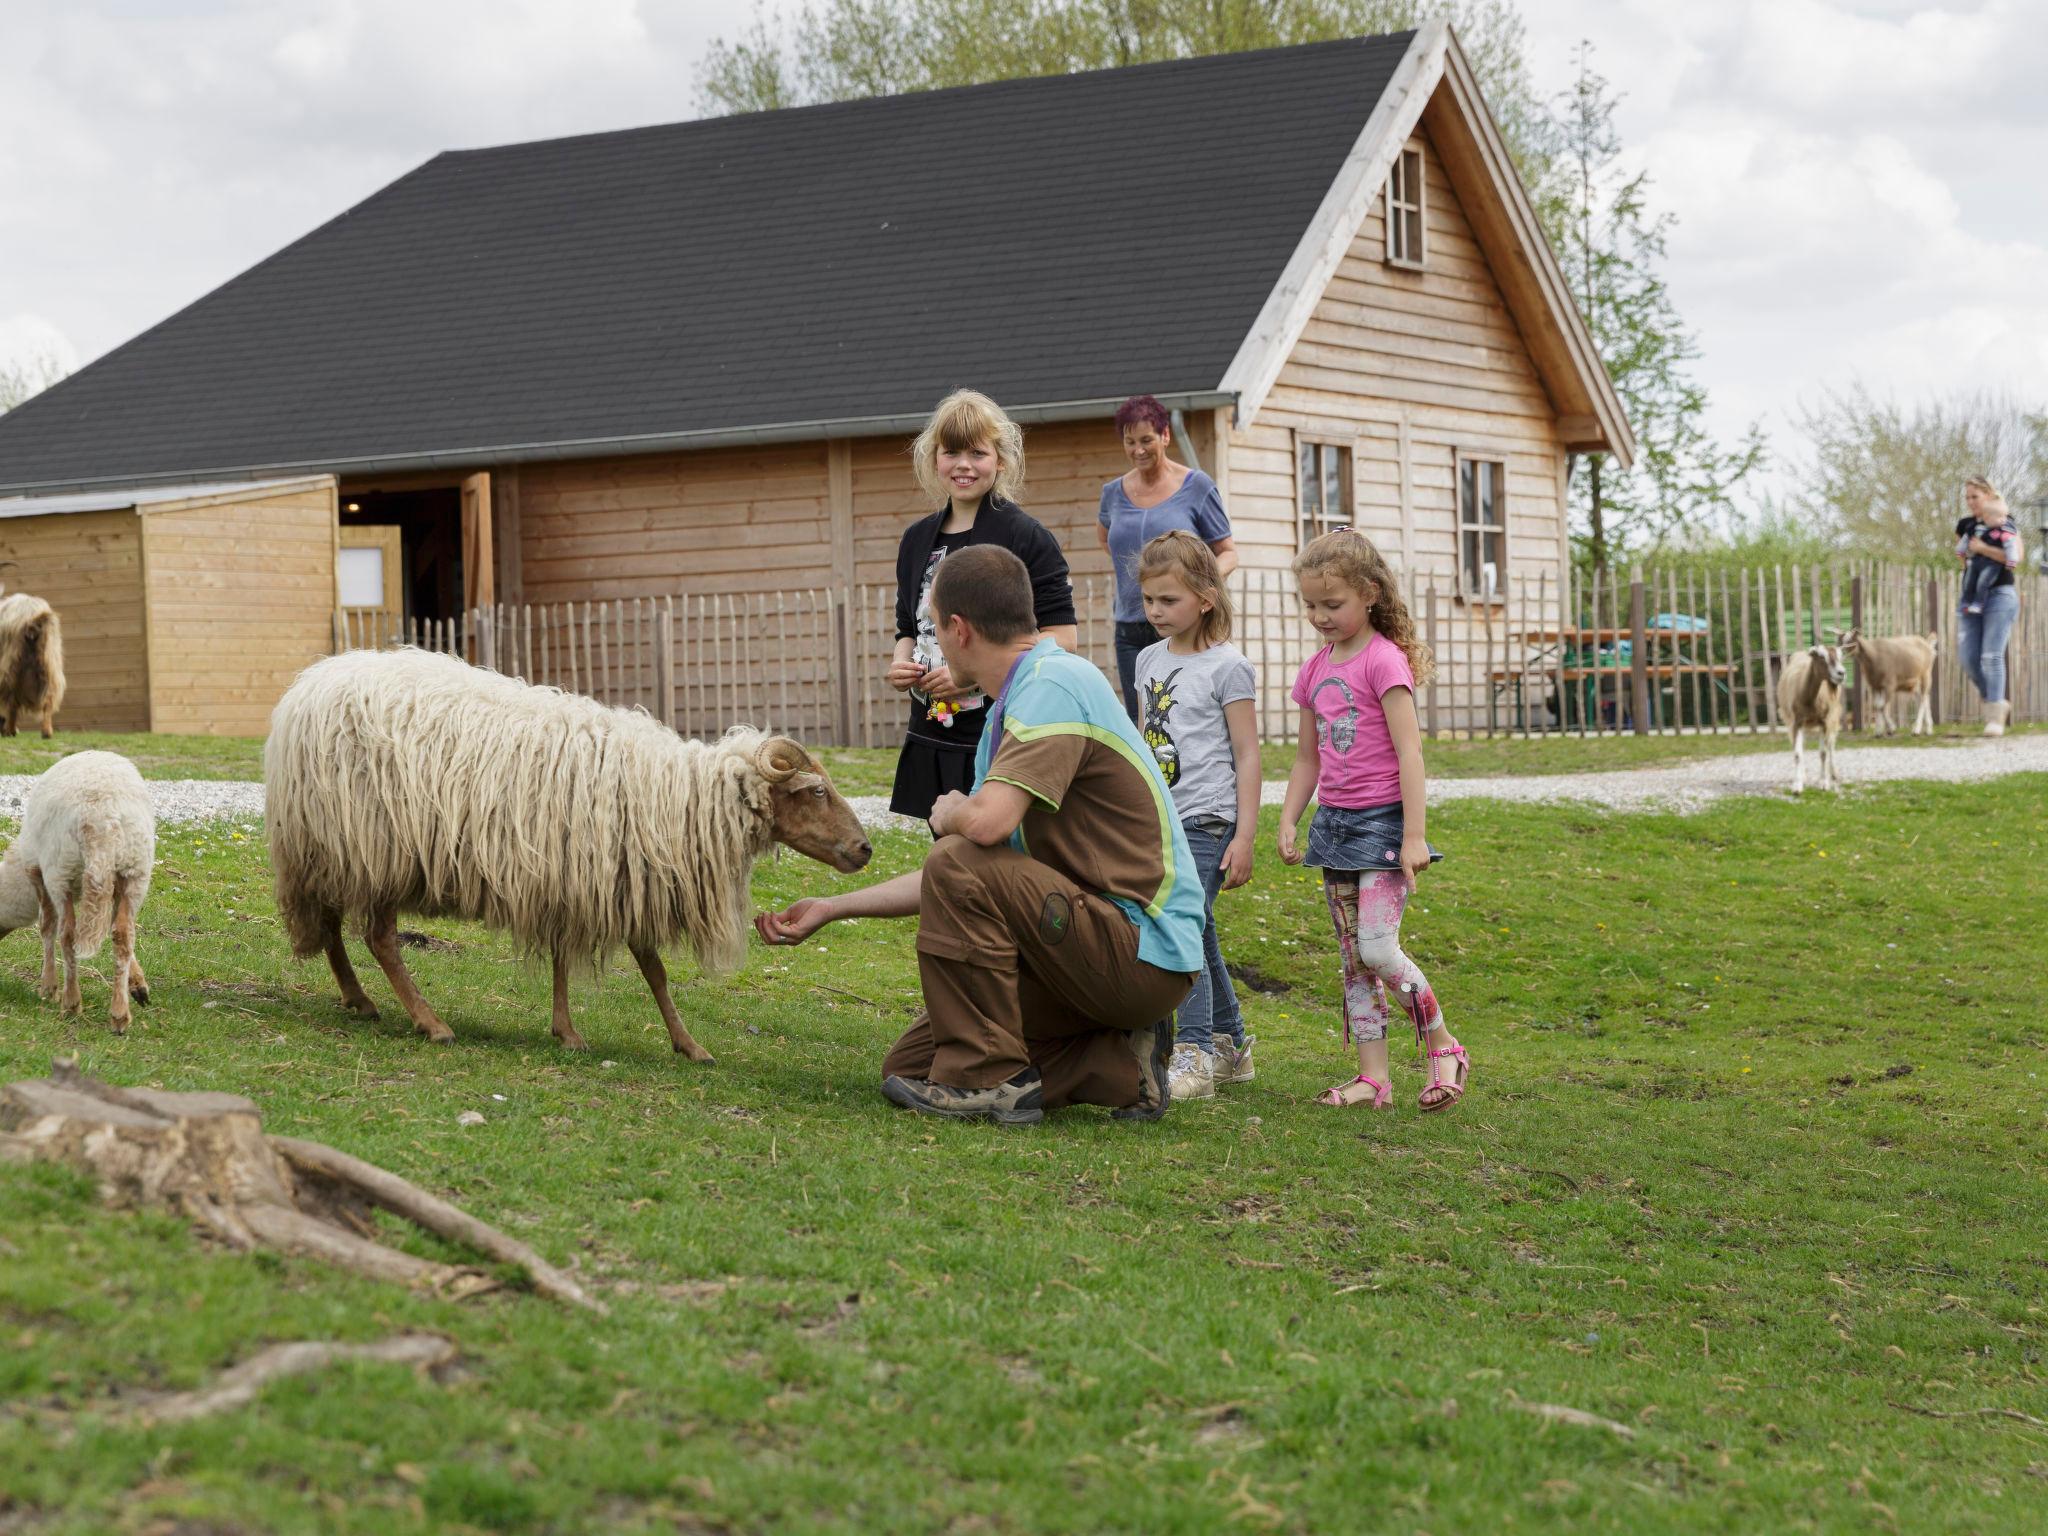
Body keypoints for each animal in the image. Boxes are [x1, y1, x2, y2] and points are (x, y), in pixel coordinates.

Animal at [0, 593, 66, 741]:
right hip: (50, 666)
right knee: (48, 700)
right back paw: (46, 732)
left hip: (11, 668)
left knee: (12, 702)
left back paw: (10, 731)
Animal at [0, 749, 155, 1036]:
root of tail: (102, 821)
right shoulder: (116, 885)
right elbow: (117, 928)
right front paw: (137, 984)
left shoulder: (38, 872)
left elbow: (46, 926)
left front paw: (48, 987)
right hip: (135, 868)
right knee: (123, 934)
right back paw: (119, 1014)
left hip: (61, 869)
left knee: (68, 935)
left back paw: (71, 1003)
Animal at [1777, 647, 1843, 798]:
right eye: (1821, 657)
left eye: (1840, 656)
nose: (1841, 673)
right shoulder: (1796, 722)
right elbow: (1798, 753)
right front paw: (1797, 786)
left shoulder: (1825, 721)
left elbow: (1823, 753)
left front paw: (1824, 783)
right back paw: (1804, 776)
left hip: (1833, 717)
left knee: (1831, 745)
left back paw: (1834, 775)